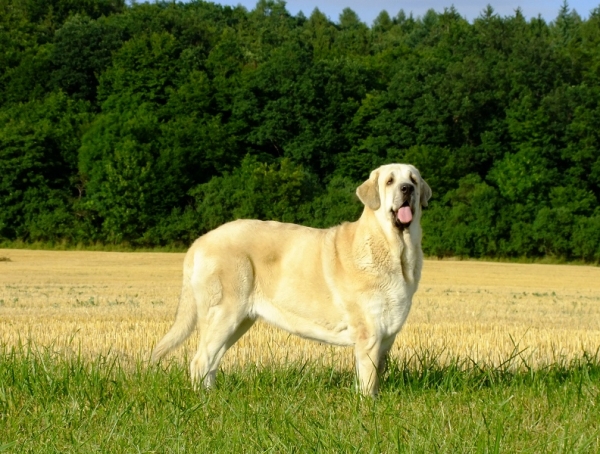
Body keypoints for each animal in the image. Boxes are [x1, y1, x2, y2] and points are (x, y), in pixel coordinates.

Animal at [152, 163, 428, 394]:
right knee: (200, 361)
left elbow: (377, 375)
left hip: (238, 321)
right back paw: (204, 400)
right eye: (390, 181)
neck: (395, 250)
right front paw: (368, 406)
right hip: (224, 314)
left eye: (413, 179)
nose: (407, 189)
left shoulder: (387, 335)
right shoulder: (368, 334)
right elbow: (368, 380)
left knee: (211, 362)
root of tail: (200, 242)